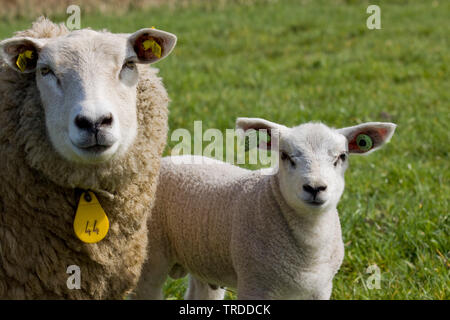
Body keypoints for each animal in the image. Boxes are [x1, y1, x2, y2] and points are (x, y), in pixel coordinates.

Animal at [135, 117, 396, 300]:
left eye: (341, 156)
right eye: (285, 155)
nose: (315, 188)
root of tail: (165, 161)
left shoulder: (321, 288)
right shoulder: (255, 284)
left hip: (203, 258)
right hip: (151, 256)